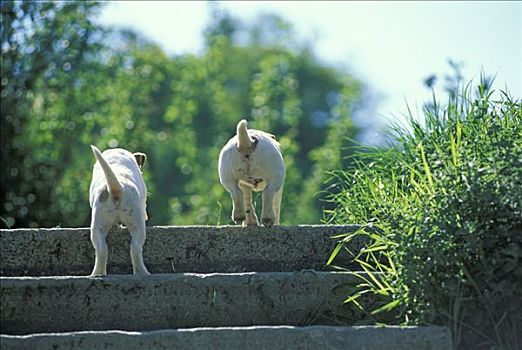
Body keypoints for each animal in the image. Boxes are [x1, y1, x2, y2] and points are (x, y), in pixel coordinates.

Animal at [89, 145, 149, 276]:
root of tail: (116, 189)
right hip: (137, 222)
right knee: (135, 247)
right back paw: (142, 272)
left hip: (98, 224)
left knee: (101, 249)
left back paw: (97, 273)